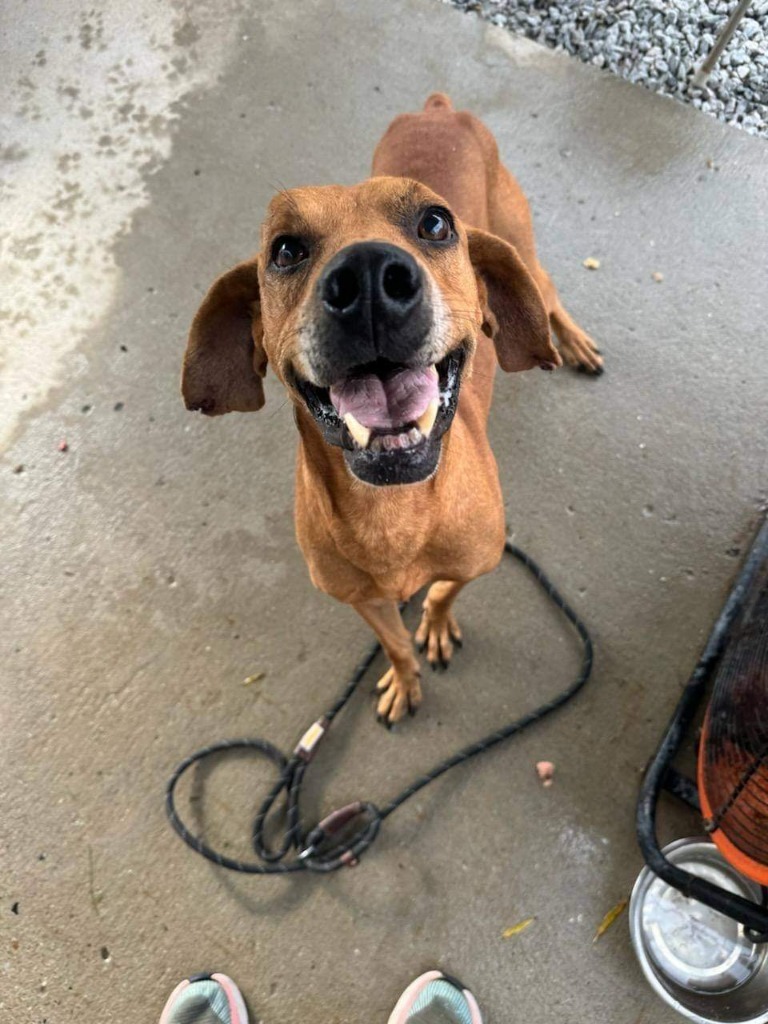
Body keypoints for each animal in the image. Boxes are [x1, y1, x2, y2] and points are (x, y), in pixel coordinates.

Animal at [183, 92, 606, 724]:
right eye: (284, 249)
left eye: (435, 223)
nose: (368, 279)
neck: (393, 516)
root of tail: (440, 108)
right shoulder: (361, 599)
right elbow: (393, 642)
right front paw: (405, 676)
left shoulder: (483, 558)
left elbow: (444, 589)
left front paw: (435, 621)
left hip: (522, 245)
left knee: (550, 292)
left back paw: (574, 341)